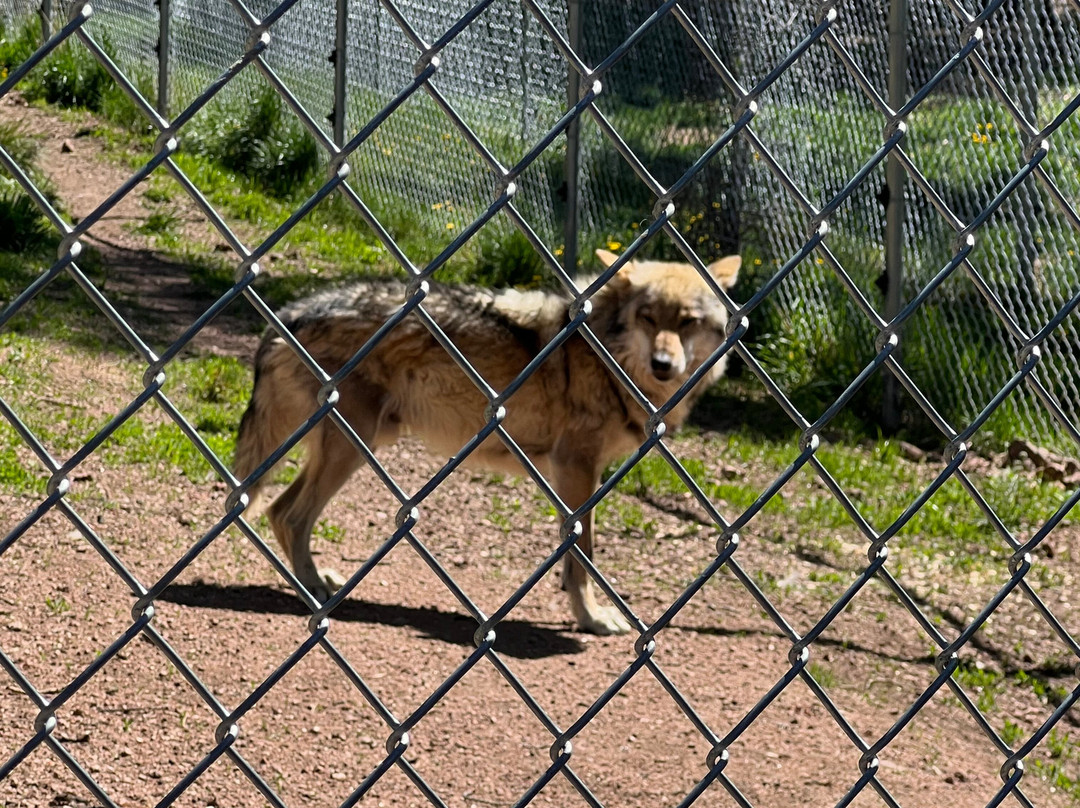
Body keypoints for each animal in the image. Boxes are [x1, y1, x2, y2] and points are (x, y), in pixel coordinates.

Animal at [234, 248, 740, 634]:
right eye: (648, 318)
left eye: (689, 322)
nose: (663, 365)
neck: (607, 360)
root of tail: (288, 314)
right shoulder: (576, 466)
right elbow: (583, 553)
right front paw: (593, 618)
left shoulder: (578, 475)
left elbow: (573, 552)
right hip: (354, 447)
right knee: (289, 514)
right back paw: (314, 593)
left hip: (354, 448)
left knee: (280, 511)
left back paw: (316, 582)